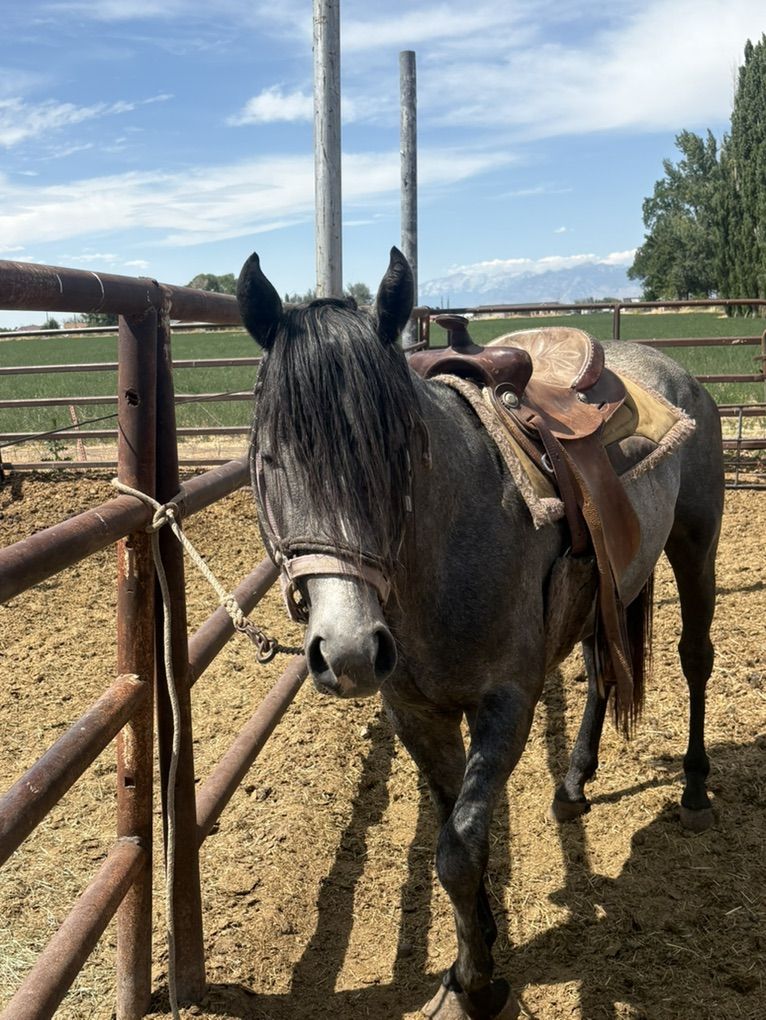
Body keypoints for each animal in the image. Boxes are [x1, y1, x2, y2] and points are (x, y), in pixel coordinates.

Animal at [236, 248, 724, 1020]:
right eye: (268, 459)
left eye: (400, 452)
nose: (348, 653)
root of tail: (671, 369)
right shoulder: (417, 713)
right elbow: (451, 831)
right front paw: (481, 945)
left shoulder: (507, 704)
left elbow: (459, 848)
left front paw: (477, 981)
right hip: (604, 591)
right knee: (599, 671)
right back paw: (575, 780)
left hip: (696, 545)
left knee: (695, 658)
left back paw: (696, 792)